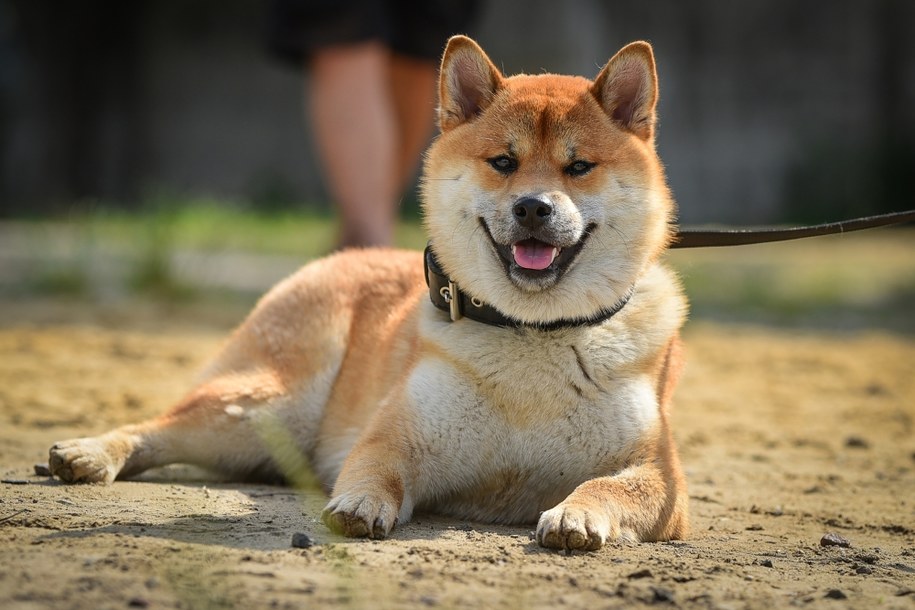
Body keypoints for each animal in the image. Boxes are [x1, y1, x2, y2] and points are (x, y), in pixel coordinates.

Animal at [48, 38, 688, 552]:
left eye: (578, 167)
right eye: (503, 162)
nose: (534, 207)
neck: (532, 333)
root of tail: (340, 258)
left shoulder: (663, 477)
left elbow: (608, 485)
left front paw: (576, 515)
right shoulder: (397, 432)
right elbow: (378, 465)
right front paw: (361, 503)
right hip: (266, 405)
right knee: (159, 428)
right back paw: (90, 453)